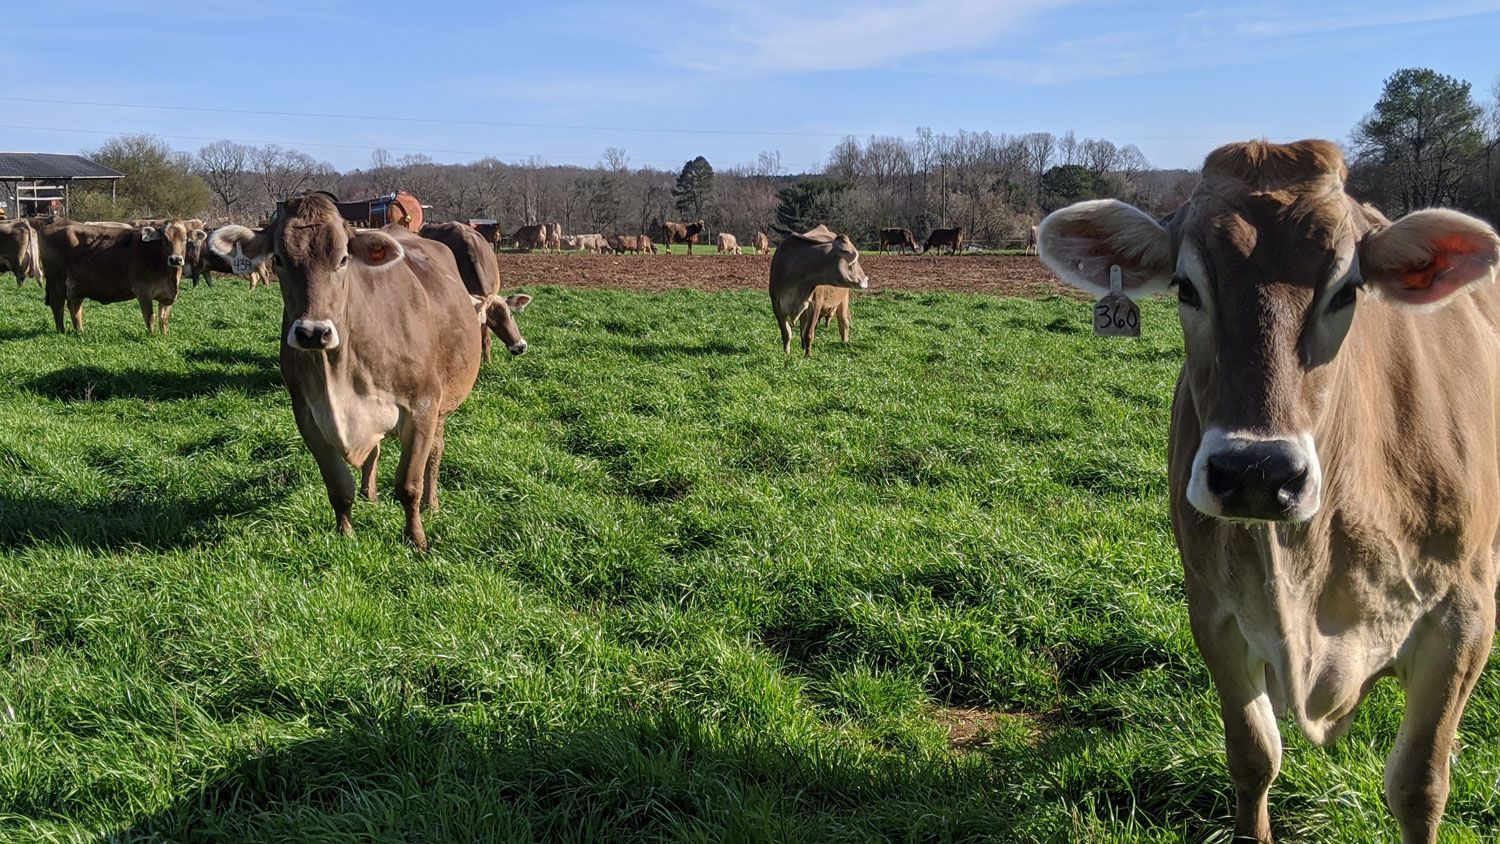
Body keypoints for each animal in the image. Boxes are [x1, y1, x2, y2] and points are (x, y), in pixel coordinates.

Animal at [34, 217, 204, 334]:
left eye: (184, 239)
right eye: (164, 239)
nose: (175, 259)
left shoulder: (168, 295)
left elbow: (164, 319)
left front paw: (164, 336)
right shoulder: (143, 291)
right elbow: (150, 317)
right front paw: (152, 337)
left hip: (76, 285)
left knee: (74, 307)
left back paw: (80, 332)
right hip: (56, 280)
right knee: (57, 305)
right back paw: (61, 332)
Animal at [208, 193, 519, 548]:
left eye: (343, 258)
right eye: (279, 260)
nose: (313, 332)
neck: (338, 375)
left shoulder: (423, 407)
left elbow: (408, 484)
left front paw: (417, 541)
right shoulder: (307, 416)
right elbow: (339, 486)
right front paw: (346, 536)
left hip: (443, 404)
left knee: (435, 453)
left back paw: (432, 502)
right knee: (375, 450)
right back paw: (371, 496)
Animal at [768, 223, 876, 355]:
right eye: (854, 260)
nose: (866, 279)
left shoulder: (816, 304)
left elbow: (809, 333)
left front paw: (808, 356)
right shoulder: (776, 304)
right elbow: (786, 333)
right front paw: (787, 353)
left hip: (843, 299)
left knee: (844, 322)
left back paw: (844, 344)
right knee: (802, 327)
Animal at [1038, 138, 1500, 844]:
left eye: (1348, 288)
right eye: (1185, 286)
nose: (1257, 472)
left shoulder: (1464, 617)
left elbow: (1420, 785)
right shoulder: (1214, 609)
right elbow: (1254, 755)